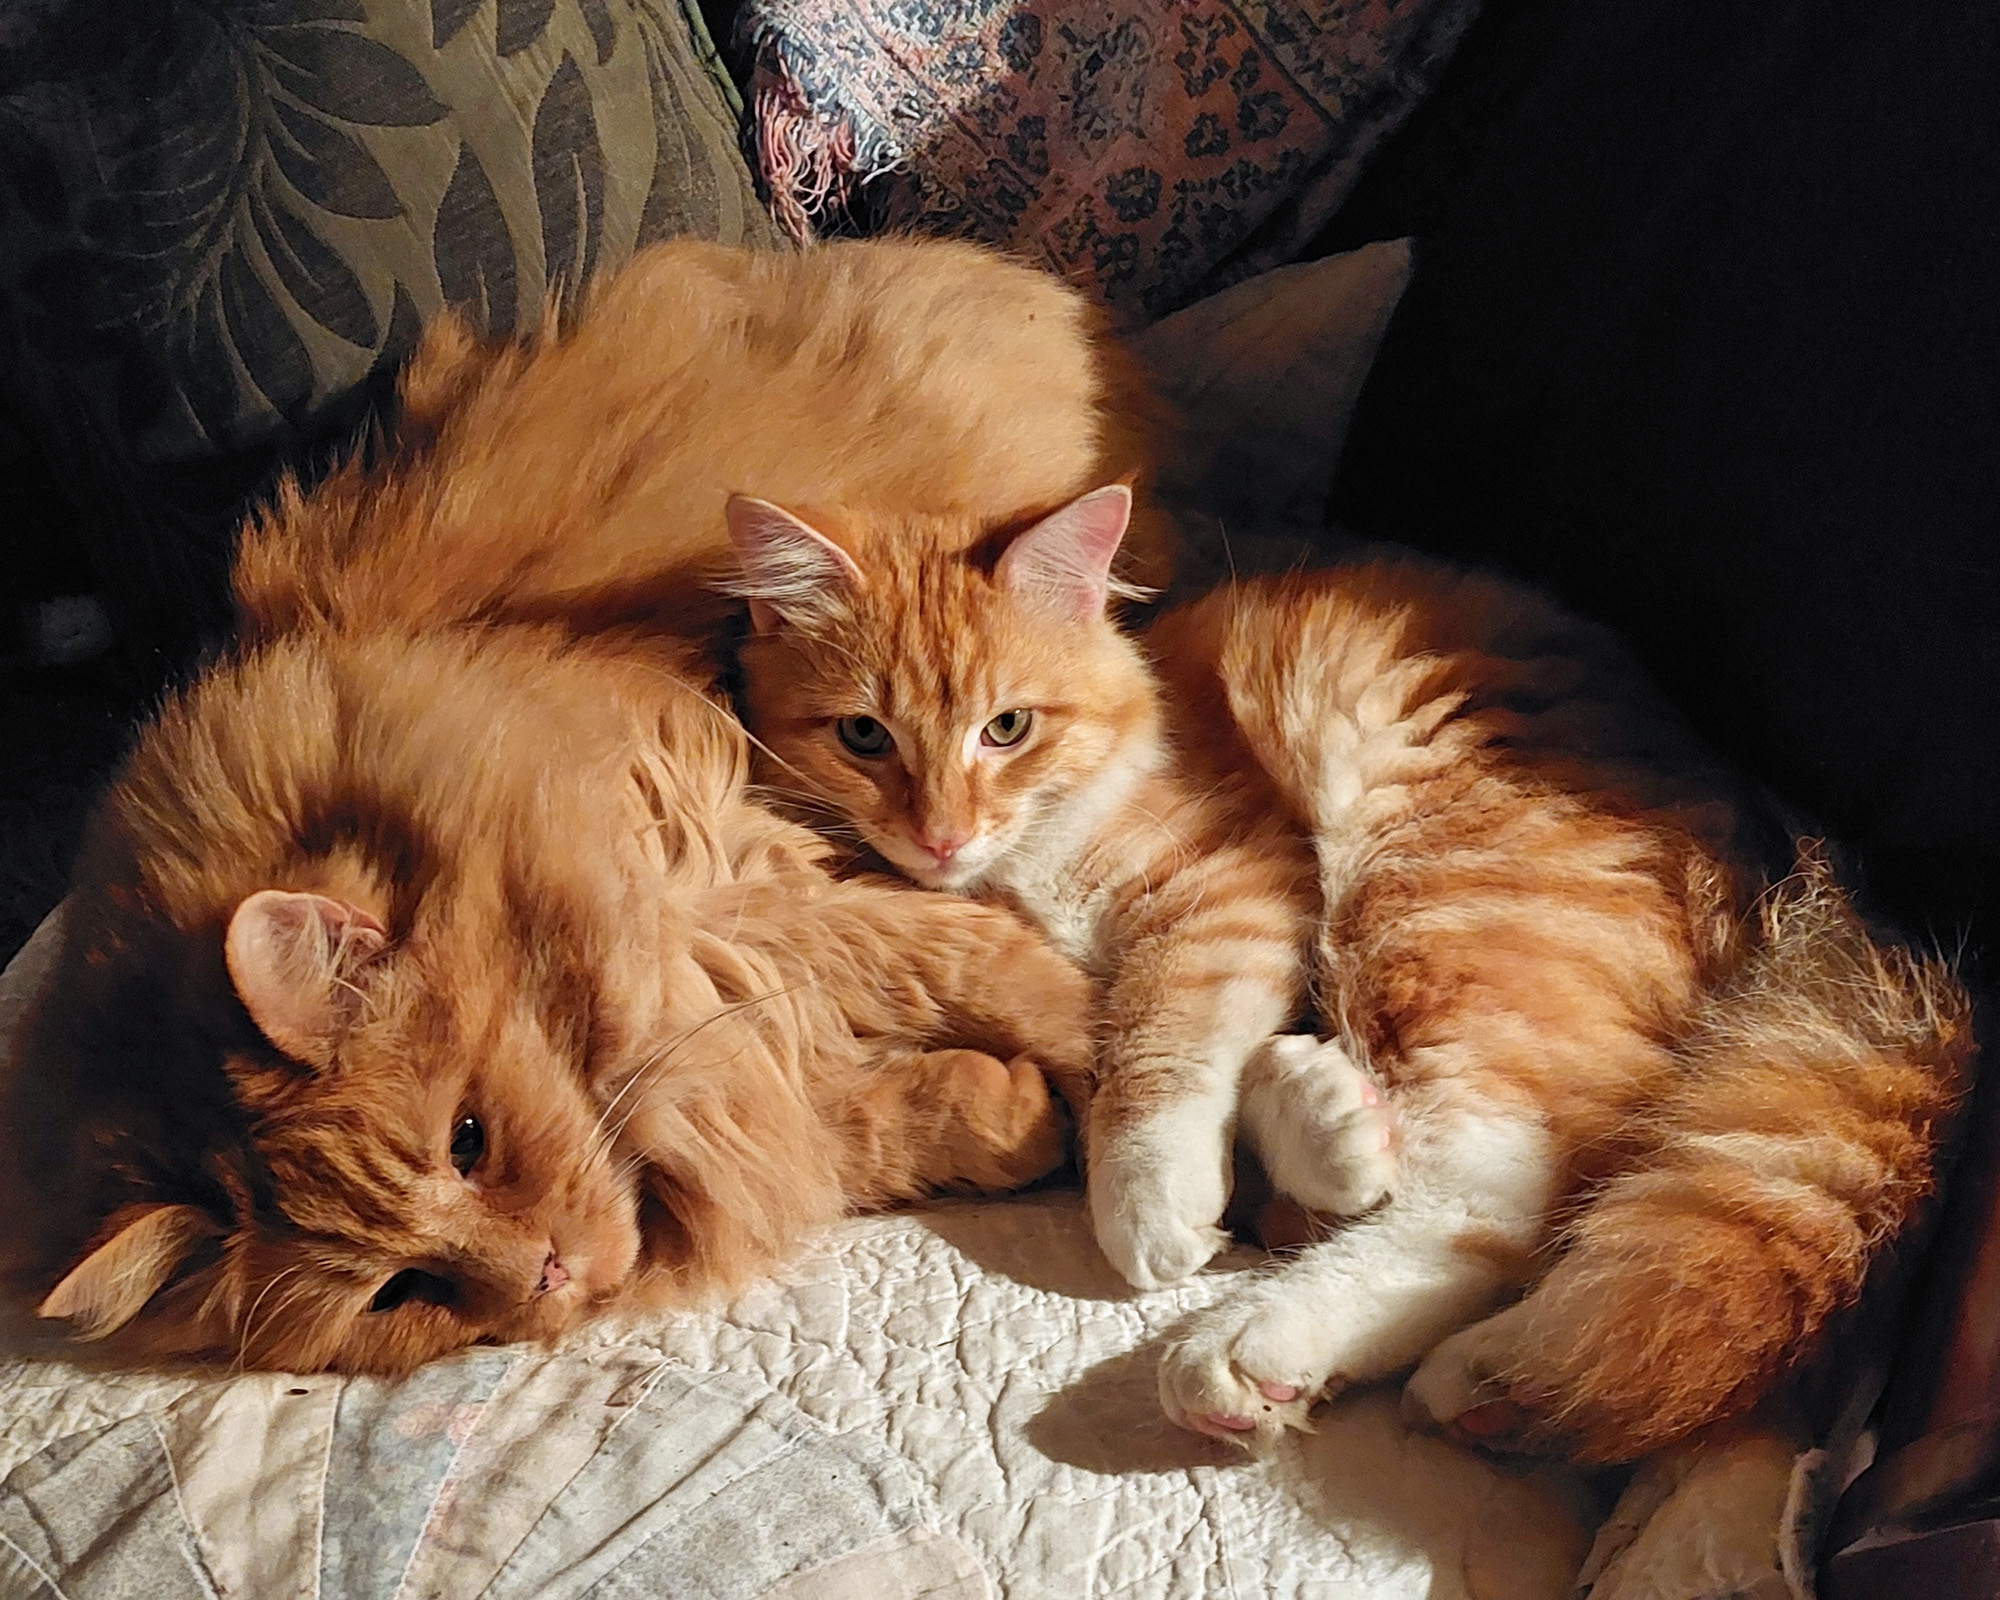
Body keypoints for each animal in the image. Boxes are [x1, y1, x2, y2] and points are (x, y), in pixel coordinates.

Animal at [723, 488, 1973, 1464]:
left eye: (1006, 727)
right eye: (864, 737)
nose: (937, 837)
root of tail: (1792, 863)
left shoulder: (1226, 886)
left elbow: (1157, 1059)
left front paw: (1152, 1202)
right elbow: (1134, 1068)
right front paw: (1294, 1137)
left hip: (1433, 881)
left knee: (1488, 1201)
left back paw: (1269, 1345)